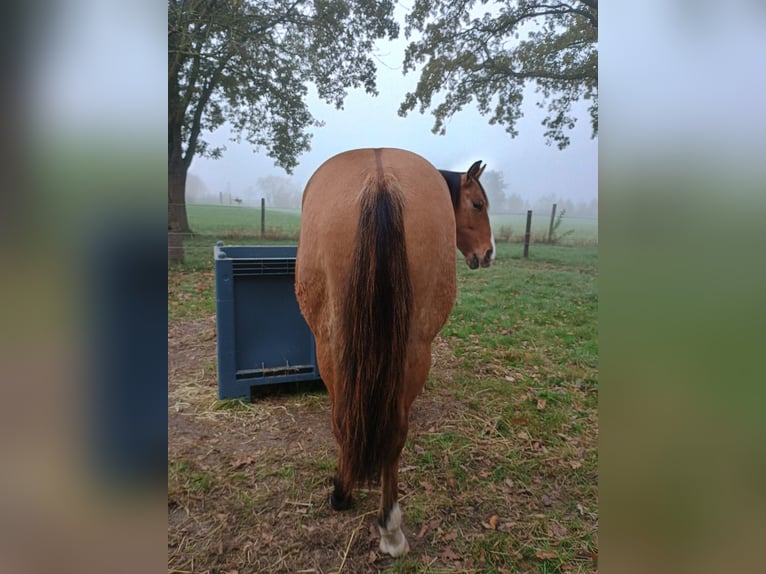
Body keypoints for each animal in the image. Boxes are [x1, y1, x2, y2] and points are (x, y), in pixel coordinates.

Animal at [296, 147, 496, 560]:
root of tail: (380, 179)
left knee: (346, 421)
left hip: (334, 347)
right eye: (478, 204)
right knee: (390, 431)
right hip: (410, 350)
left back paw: (373, 516)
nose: (488, 254)